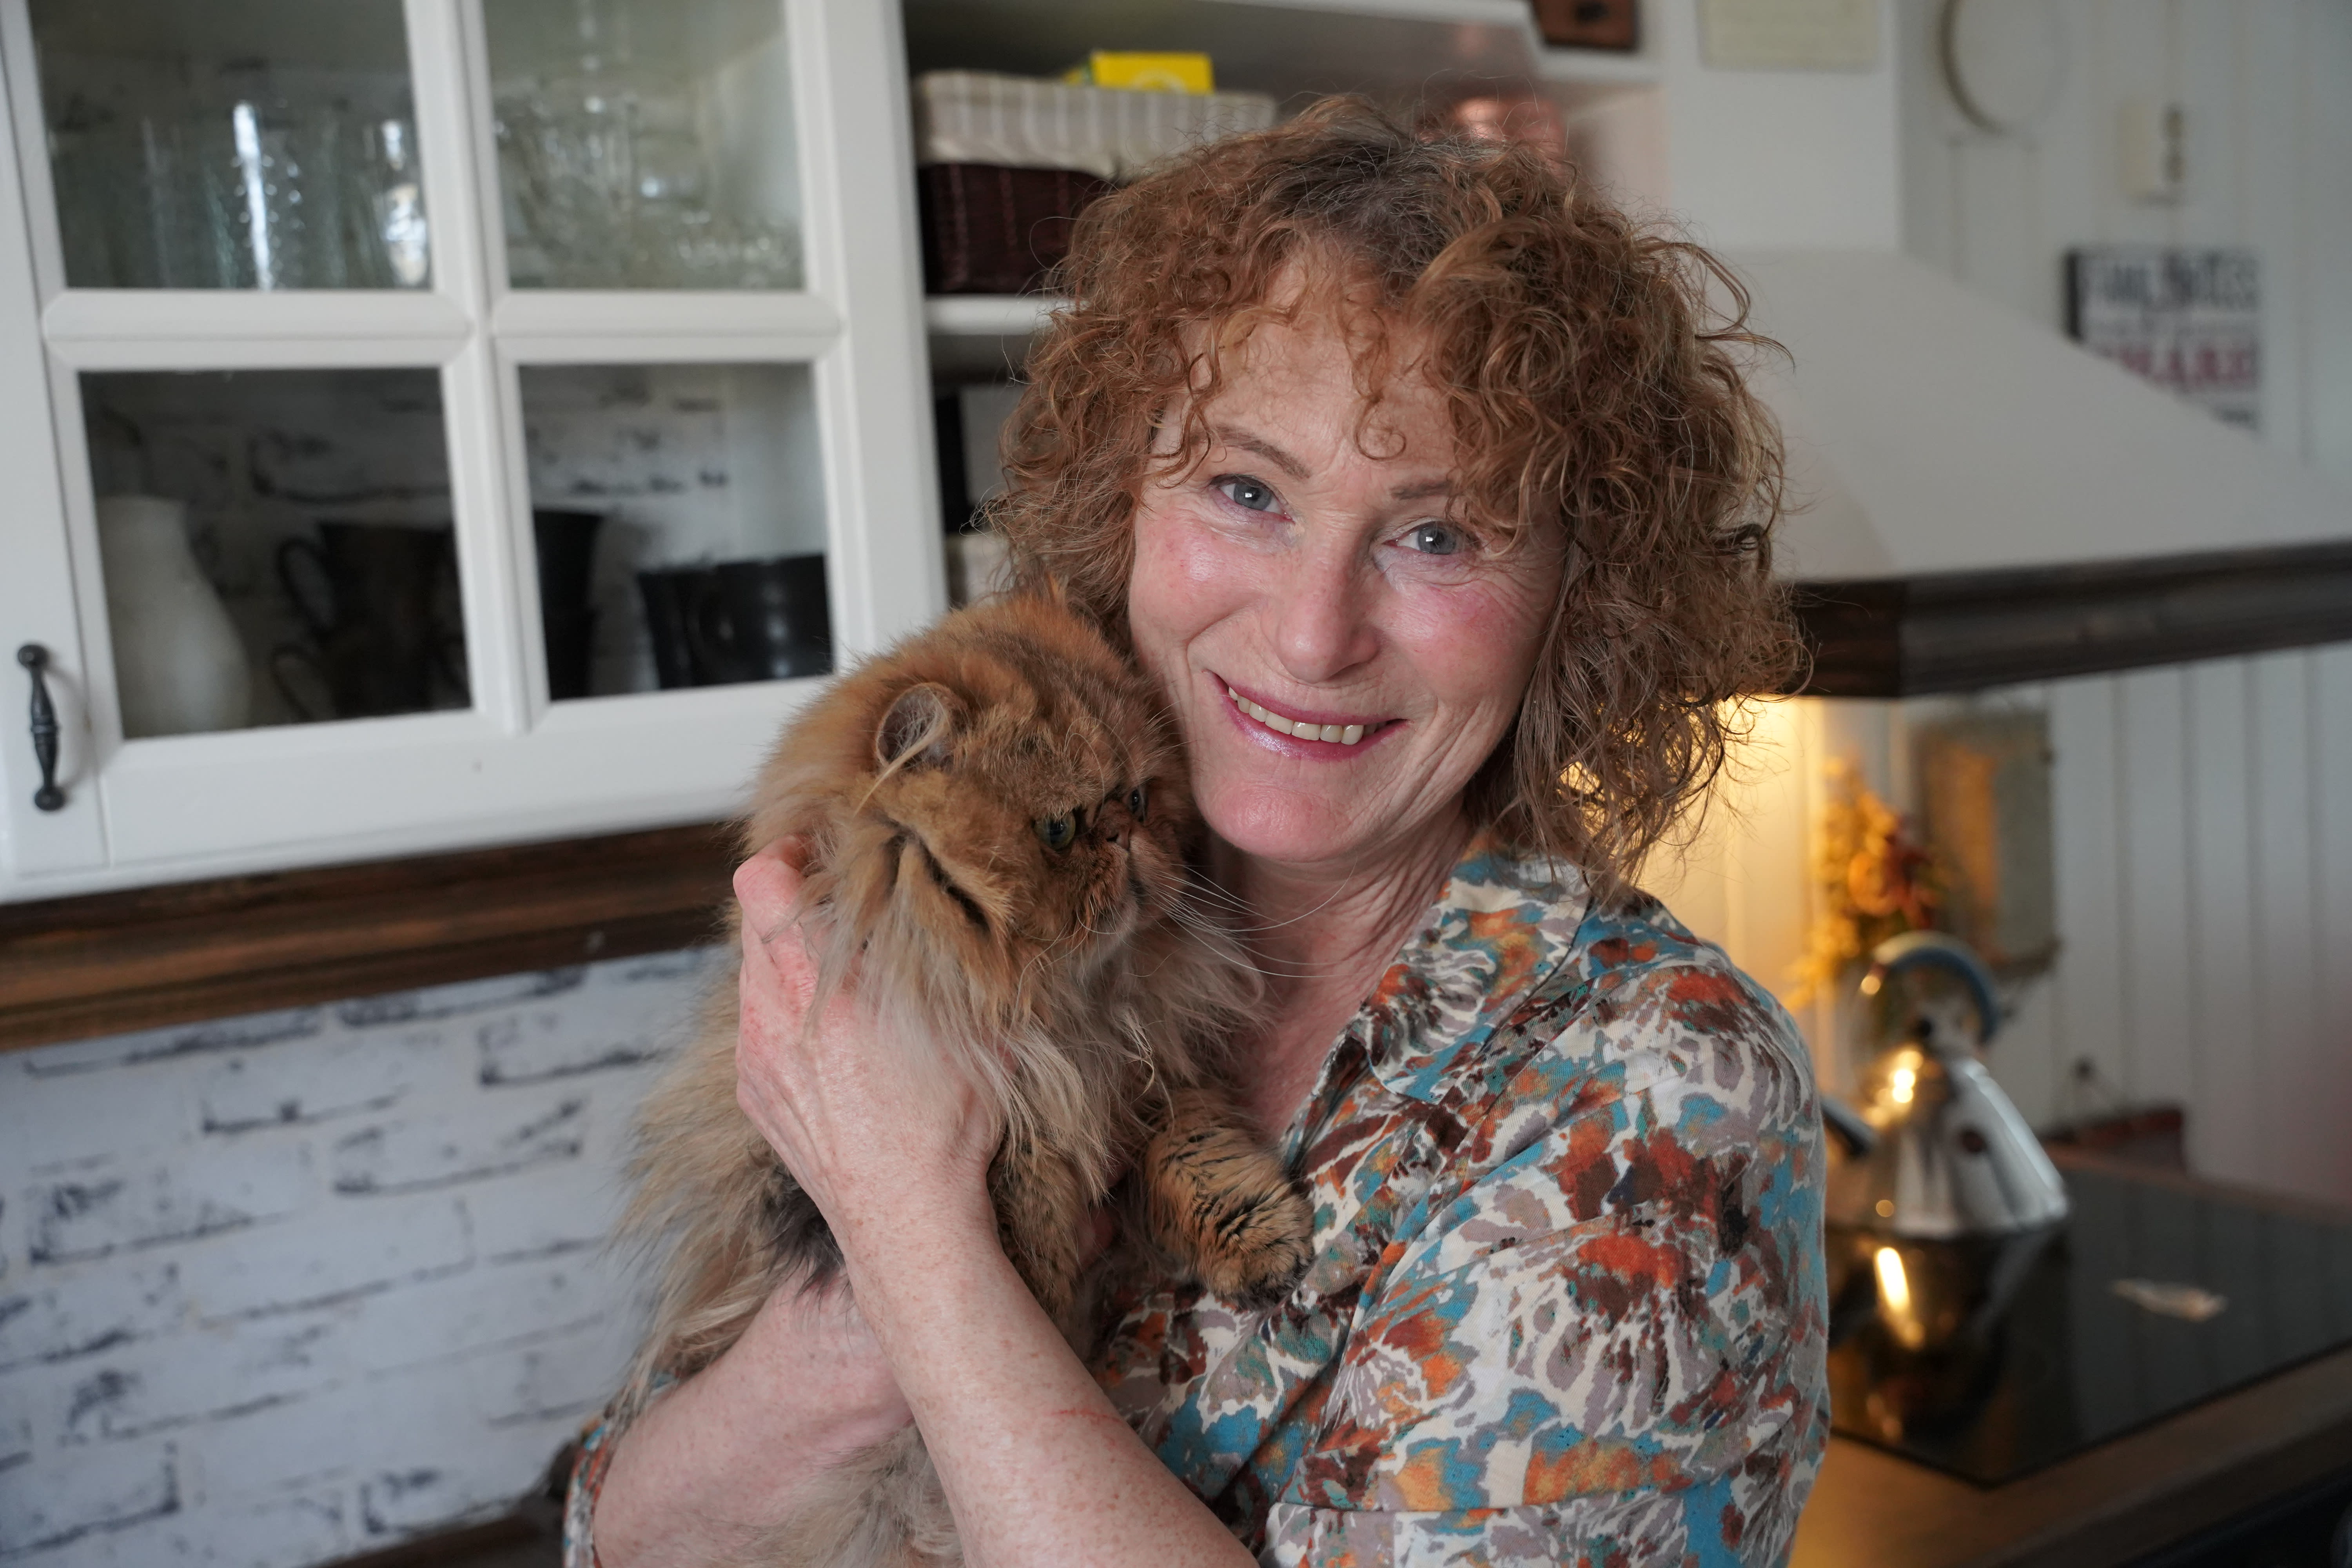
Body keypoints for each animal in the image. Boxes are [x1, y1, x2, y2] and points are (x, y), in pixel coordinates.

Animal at [614, 591, 1314, 1568]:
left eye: (1139, 798)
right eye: (1059, 828)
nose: (1124, 833)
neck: (1064, 1015)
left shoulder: (1151, 1080)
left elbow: (1204, 1167)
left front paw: (1263, 1247)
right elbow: (1022, 1203)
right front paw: (1044, 1291)